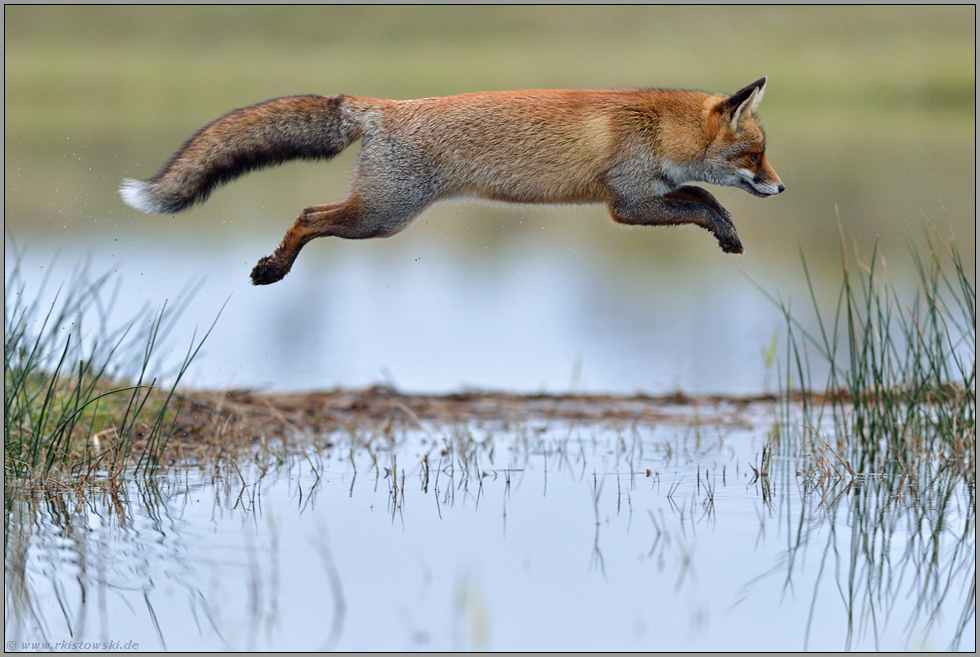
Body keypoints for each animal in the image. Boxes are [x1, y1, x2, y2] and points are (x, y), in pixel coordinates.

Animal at [120, 77, 780, 284]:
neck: (658, 129)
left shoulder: (642, 197)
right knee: (309, 216)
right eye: (755, 156)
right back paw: (272, 269)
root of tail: (383, 106)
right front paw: (726, 230)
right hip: (380, 218)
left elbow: (699, 195)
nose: (781, 188)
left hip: (379, 214)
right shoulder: (627, 203)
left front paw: (728, 232)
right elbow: (701, 201)